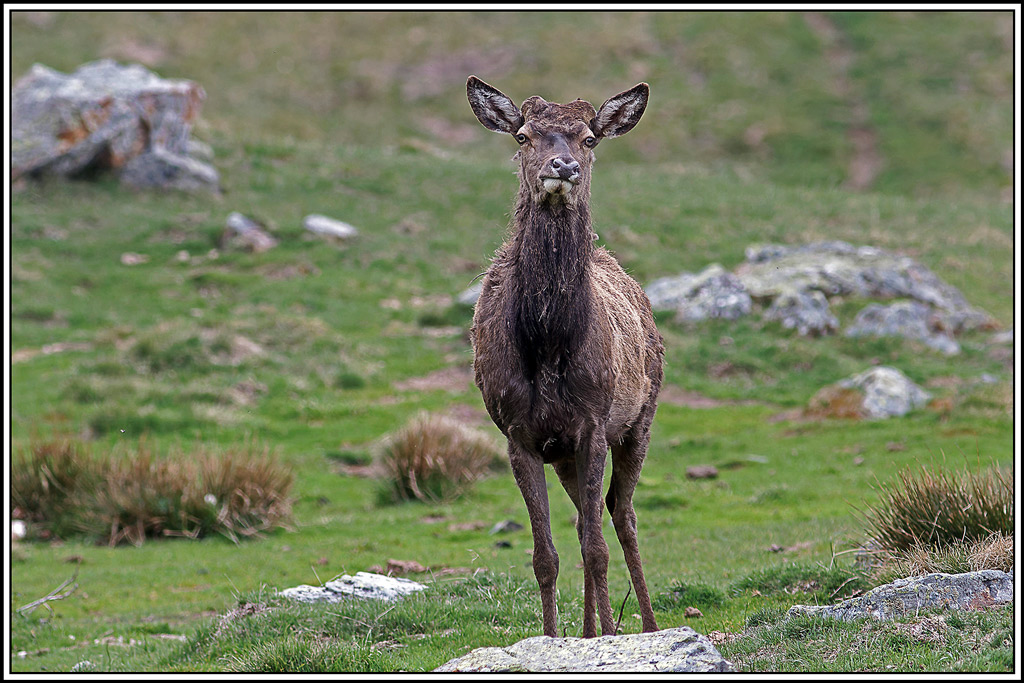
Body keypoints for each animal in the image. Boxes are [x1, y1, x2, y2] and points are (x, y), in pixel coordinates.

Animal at [466, 75, 664, 639]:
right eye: (523, 135)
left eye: (590, 138)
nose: (563, 166)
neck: (550, 342)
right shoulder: (519, 433)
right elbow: (545, 557)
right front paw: (556, 639)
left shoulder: (593, 422)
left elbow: (597, 549)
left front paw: (612, 638)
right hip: (564, 454)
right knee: (583, 517)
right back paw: (592, 629)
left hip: (640, 416)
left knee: (620, 514)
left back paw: (642, 624)